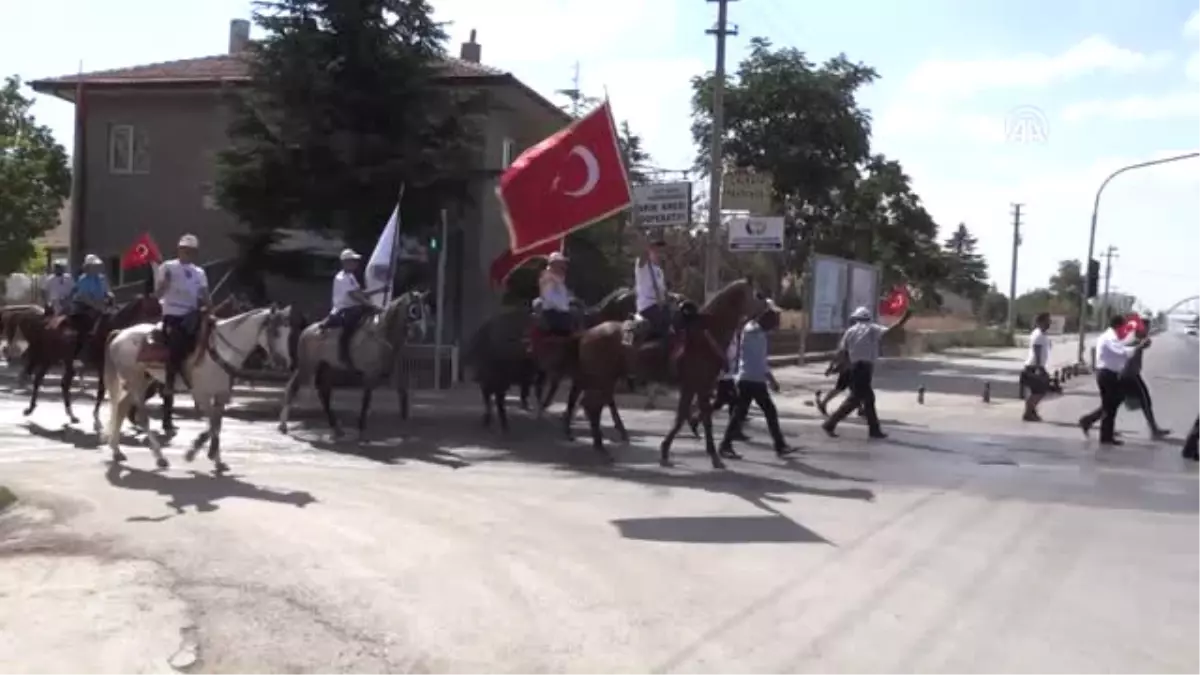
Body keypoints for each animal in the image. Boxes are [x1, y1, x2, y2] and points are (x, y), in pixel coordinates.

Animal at [104, 303, 294, 468]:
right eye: (276, 332)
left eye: (288, 332)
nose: (284, 363)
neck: (219, 351)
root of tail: (120, 333)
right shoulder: (201, 394)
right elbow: (212, 424)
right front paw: (195, 451)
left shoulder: (221, 395)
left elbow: (216, 424)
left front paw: (216, 458)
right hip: (134, 381)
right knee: (142, 417)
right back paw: (160, 457)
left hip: (144, 380)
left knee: (121, 407)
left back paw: (117, 451)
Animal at [278, 290, 429, 439]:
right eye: (413, 309)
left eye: (425, 309)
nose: (420, 334)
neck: (382, 333)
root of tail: (307, 330)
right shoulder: (370, 373)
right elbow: (366, 400)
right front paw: (362, 429)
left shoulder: (393, 371)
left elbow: (403, 394)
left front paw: (405, 425)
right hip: (308, 365)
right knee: (293, 388)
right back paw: (284, 425)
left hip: (327, 367)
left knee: (324, 393)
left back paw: (336, 428)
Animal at [573, 278, 763, 468]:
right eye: (756, 295)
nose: (766, 310)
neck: (705, 335)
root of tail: (588, 333)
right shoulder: (698, 385)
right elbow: (699, 418)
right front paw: (713, 457)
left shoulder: (694, 387)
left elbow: (686, 416)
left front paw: (667, 450)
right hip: (602, 379)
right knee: (592, 405)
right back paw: (601, 447)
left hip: (605, 379)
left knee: (592, 405)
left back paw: (600, 444)